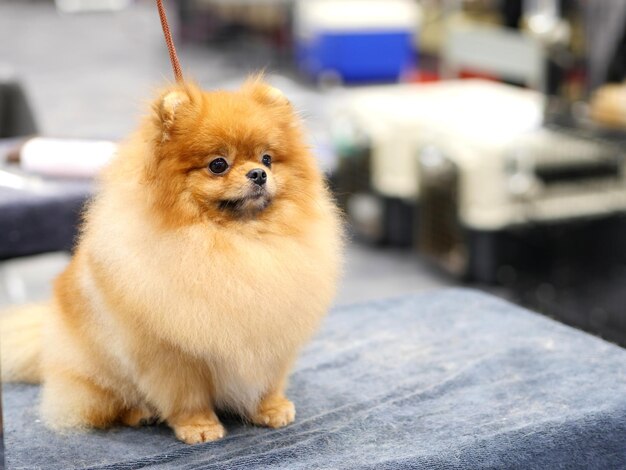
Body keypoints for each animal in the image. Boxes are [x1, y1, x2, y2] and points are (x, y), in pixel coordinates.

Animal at [0, 78, 342, 444]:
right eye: (218, 164)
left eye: (267, 158)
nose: (259, 174)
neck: (237, 241)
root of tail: (46, 335)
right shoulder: (172, 354)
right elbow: (186, 395)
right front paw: (199, 426)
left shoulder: (271, 334)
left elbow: (267, 380)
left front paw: (270, 408)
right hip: (96, 372)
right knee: (108, 403)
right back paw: (140, 413)